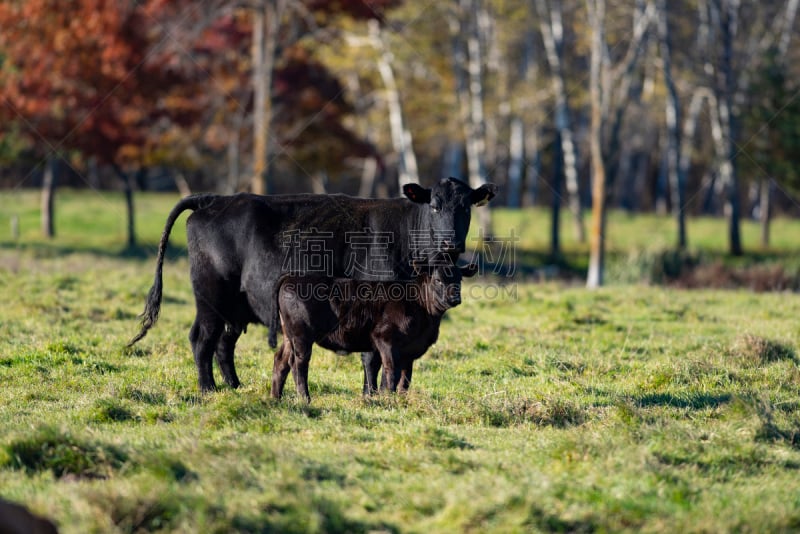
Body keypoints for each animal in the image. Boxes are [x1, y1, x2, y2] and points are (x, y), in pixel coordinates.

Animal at [272, 260, 478, 402]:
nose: (454, 298)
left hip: (290, 336)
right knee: (298, 363)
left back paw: (276, 398)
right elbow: (391, 371)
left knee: (281, 360)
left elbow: (406, 378)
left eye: (459, 279)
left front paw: (401, 399)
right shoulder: (385, 340)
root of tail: (291, 276)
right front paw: (389, 398)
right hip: (301, 335)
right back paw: (304, 398)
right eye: (437, 280)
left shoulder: (409, 351)